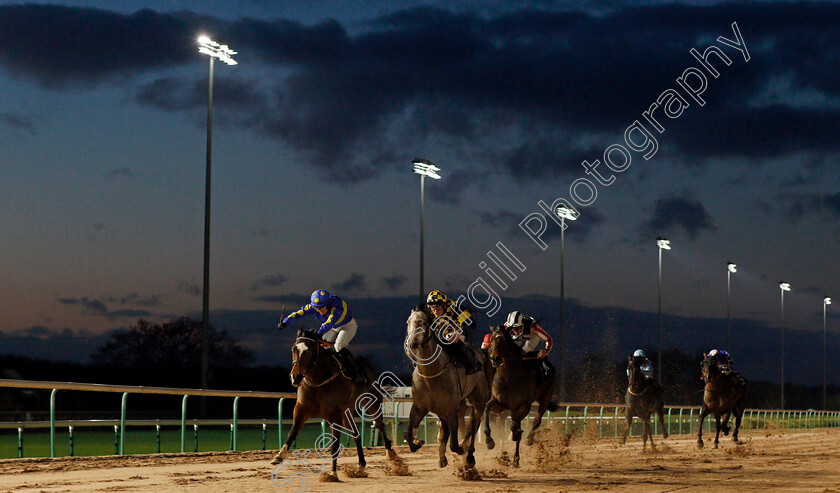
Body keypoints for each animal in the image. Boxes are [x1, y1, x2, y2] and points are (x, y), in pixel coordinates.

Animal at [272, 328, 398, 474]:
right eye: (294, 349)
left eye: (309, 350)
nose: (295, 377)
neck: (318, 380)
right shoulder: (301, 408)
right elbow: (293, 431)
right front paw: (278, 456)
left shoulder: (335, 415)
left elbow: (335, 445)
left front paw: (333, 473)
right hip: (347, 411)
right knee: (356, 433)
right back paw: (361, 463)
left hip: (372, 402)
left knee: (380, 425)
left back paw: (390, 453)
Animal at [402, 306, 492, 468]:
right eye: (408, 322)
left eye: (424, 322)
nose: (410, 344)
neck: (431, 375)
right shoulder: (419, 407)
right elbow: (408, 434)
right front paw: (418, 442)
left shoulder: (451, 410)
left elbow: (455, 444)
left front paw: (462, 449)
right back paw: (442, 458)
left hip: (479, 401)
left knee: (475, 425)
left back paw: (469, 455)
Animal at [486, 322, 556, 466]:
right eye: (491, 340)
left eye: (503, 340)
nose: (494, 358)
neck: (509, 378)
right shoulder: (498, 402)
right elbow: (486, 410)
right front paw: (489, 441)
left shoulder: (524, 406)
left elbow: (515, 426)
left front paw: (515, 436)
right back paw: (505, 455)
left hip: (546, 396)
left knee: (536, 419)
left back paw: (524, 445)